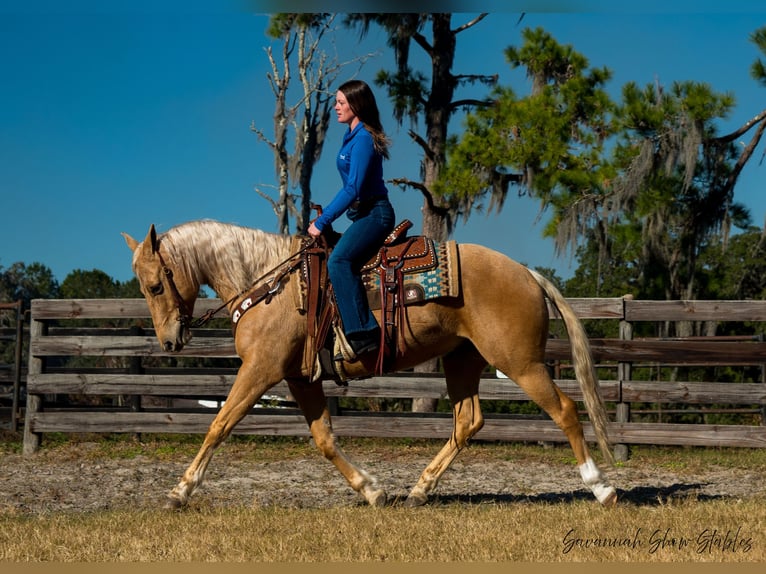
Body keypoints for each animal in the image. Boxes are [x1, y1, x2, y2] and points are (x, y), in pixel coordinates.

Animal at [124, 220, 616, 508]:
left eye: (154, 285)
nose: (169, 341)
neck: (268, 284)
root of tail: (527, 273)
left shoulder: (260, 370)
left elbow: (219, 424)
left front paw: (180, 491)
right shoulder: (301, 377)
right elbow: (324, 439)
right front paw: (373, 490)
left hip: (520, 362)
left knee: (564, 411)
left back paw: (601, 487)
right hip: (463, 360)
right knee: (468, 421)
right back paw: (419, 490)